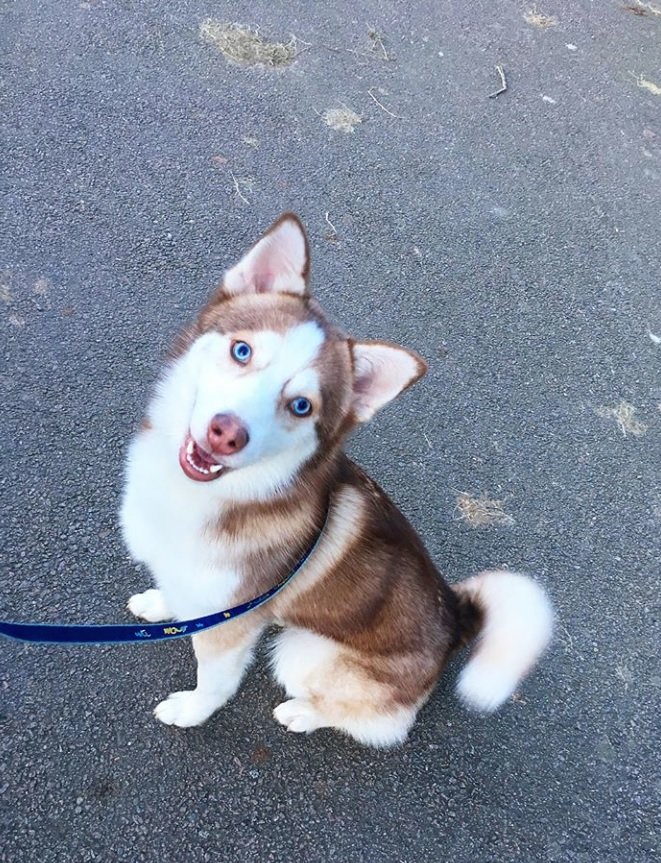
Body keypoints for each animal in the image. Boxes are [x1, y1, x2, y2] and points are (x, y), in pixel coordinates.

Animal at [120, 213, 552, 744]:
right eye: (241, 351)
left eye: (301, 406)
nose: (226, 434)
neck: (204, 496)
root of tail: (454, 615)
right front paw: (161, 605)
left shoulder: (231, 629)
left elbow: (214, 683)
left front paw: (192, 711)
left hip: (301, 651)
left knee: (383, 723)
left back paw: (303, 713)